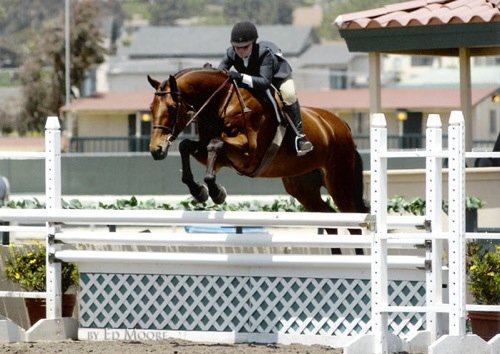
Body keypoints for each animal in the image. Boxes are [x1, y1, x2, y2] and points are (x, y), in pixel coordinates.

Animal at [146, 67, 370, 220]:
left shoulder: (248, 154)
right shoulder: (212, 153)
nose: (156, 150)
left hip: (339, 181)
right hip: (303, 187)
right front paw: (199, 191)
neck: (222, 102)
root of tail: (342, 126)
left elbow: (215, 145)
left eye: (172, 107)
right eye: (151, 107)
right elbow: (186, 146)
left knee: (352, 215)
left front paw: (216, 193)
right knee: (328, 214)